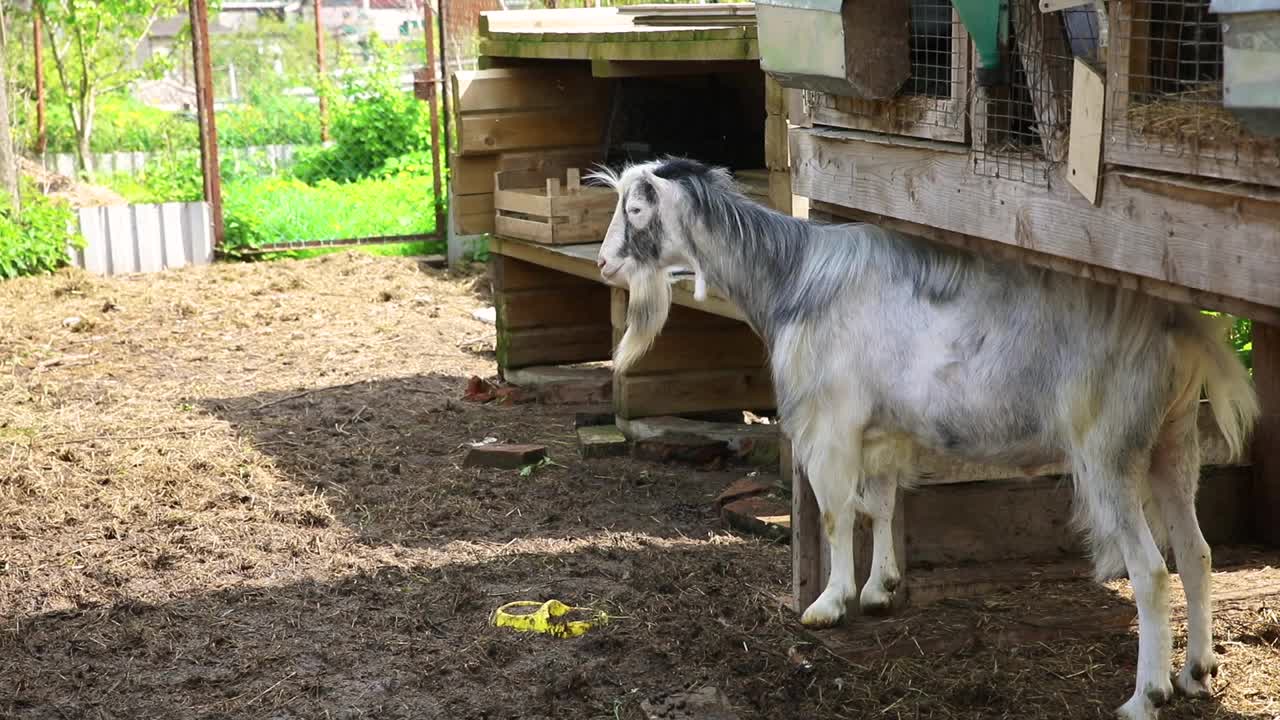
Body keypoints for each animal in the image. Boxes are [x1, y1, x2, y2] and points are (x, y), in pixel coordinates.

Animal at [591, 156, 1259, 717]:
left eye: (637, 209)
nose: (603, 264)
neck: (795, 278)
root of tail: (1179, 323)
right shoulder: (881, 430)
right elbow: (881, 503)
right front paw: (881, 588)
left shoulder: (830, 425)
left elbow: (837, 514)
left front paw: (829, 603)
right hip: (1173, 442)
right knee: (1196, 552)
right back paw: (1197, 672)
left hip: (1109, 453)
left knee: (1150, 571)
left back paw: (1145, 697)